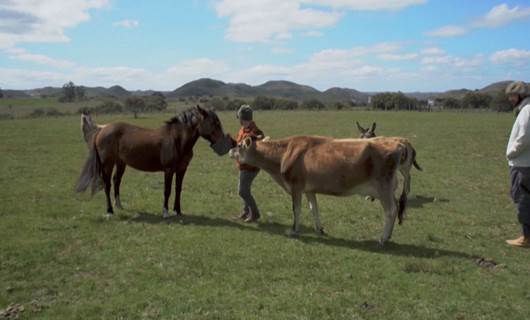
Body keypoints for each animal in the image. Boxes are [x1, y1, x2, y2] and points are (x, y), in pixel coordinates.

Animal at [75, 105, 228, 218]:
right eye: (214, 123)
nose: (226, 143)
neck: (176, 140)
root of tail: (102, 129)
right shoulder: (168, 170)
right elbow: (167, 190)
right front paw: (165, 212)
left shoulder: (181, 169)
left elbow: (178, 189)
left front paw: (177, 211)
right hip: (108, 164)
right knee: (107, 185)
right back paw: (110, 211)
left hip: (121, 163)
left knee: (116, 181)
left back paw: (119, 205)